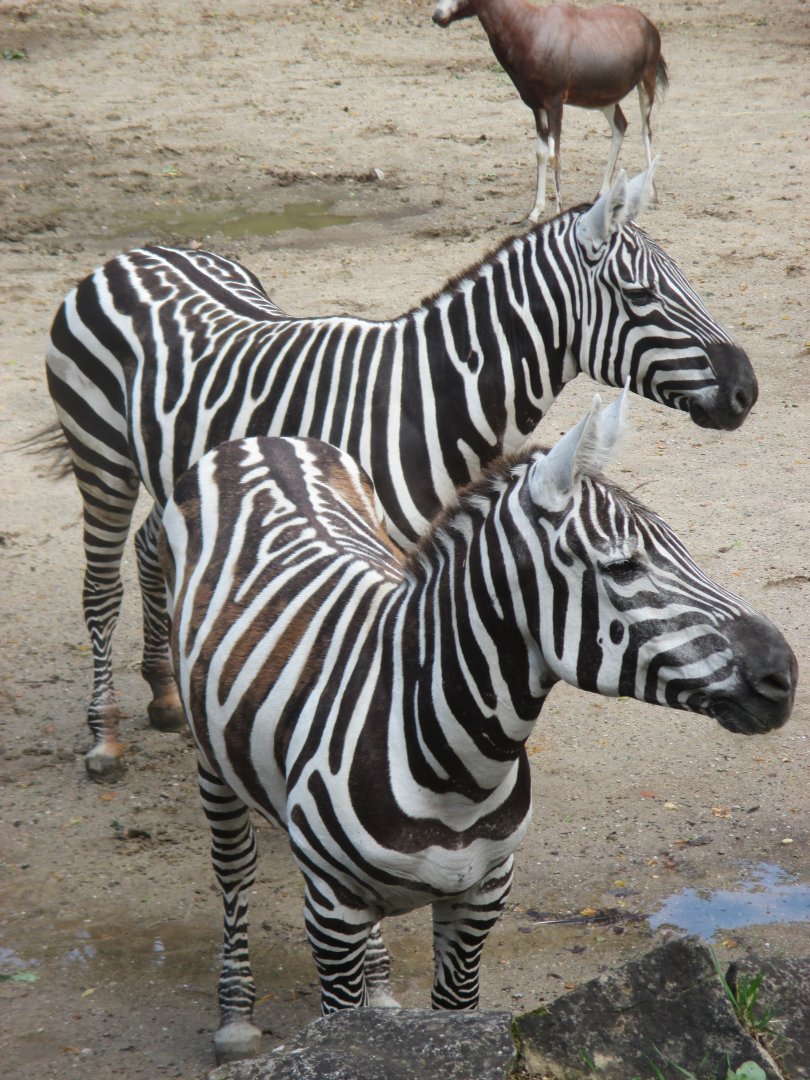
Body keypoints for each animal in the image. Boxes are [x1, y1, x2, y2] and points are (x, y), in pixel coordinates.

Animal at [43, 163, 759, 780]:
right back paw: (105, 735)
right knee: (100, 589)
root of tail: (138, 254)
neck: (424, 406)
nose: (746, 390)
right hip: (100, 456)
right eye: (640, 294)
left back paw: (165, 696)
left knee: (149, 547)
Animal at [158, 392, 796, 1063]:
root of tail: (264, 439)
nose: (784, 674)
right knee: (234, 871)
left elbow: (457, 1007)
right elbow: (338, 1014)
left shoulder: (482, 894)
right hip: (213, 758)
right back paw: (235, 1013)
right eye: (623, 567)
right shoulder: (330, 913)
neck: (451, 765)